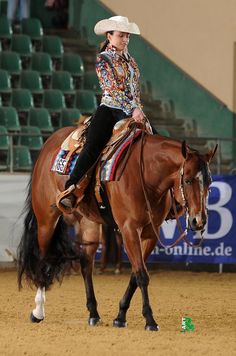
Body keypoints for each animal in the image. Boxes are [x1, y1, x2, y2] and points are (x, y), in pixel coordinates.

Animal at [16, 126, 216, 330]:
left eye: (209, 182)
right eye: (188, 180)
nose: (198, 221)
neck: (145, 173)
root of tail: (49, 143)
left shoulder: (151, 234)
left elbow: (136, 274)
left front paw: (120, 316)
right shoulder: (129, 229)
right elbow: (142, 275)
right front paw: (150, 320)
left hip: (88, 223)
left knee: (86, 264)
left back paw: (93, 313)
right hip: (46, 219)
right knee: (44, 257)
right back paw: (38, 311)